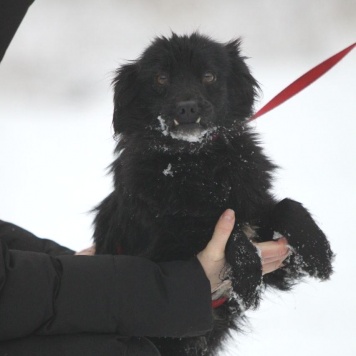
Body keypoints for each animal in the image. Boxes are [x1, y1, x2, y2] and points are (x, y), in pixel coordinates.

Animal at [94, 33, 334, 356]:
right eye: (161, 78)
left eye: (209, 76)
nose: (187, 108)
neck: (198, 164)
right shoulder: (161, 253)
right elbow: (218, 228)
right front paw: (247, 272)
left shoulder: (273, 256)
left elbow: (287, 206)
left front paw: (318, 250)